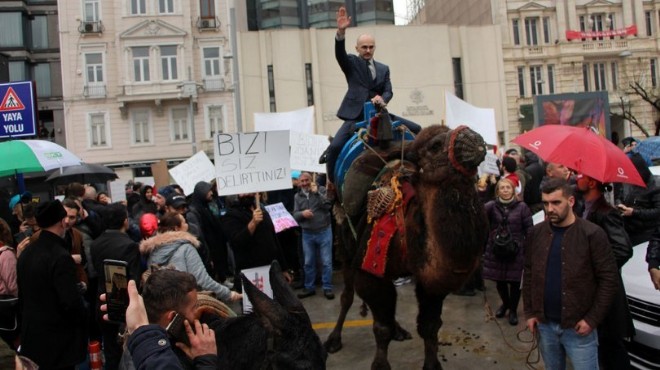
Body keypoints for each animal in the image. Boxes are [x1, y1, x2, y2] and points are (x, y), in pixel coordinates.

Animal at [324, 125, 490, 370]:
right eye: (435, 146)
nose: (474, 139)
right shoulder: (368, 269)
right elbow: (380, 328)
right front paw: (380, 365)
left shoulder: (429, 282)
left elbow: (429, 326)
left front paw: (432, 365)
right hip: (345, 248)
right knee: (347, 296)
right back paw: (334, 340)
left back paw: (399, 331)